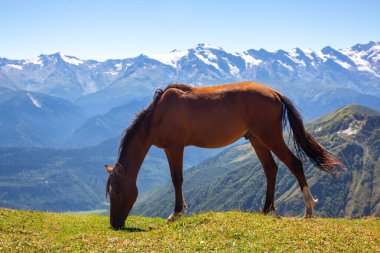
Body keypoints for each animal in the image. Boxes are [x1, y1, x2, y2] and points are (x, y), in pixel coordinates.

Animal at [104, 81, 344, 229]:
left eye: (117, 193)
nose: (115, 224)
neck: (157, 115)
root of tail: (275, 93)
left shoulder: (175, 147)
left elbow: (177, 179)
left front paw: (176, 214)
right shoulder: (168, 149)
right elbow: (175, 179)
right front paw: (179, 211)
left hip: (270, 136)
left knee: (294, 163)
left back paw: (308, 210)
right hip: (256, 139)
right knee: (271, 168)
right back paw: (266, 209)